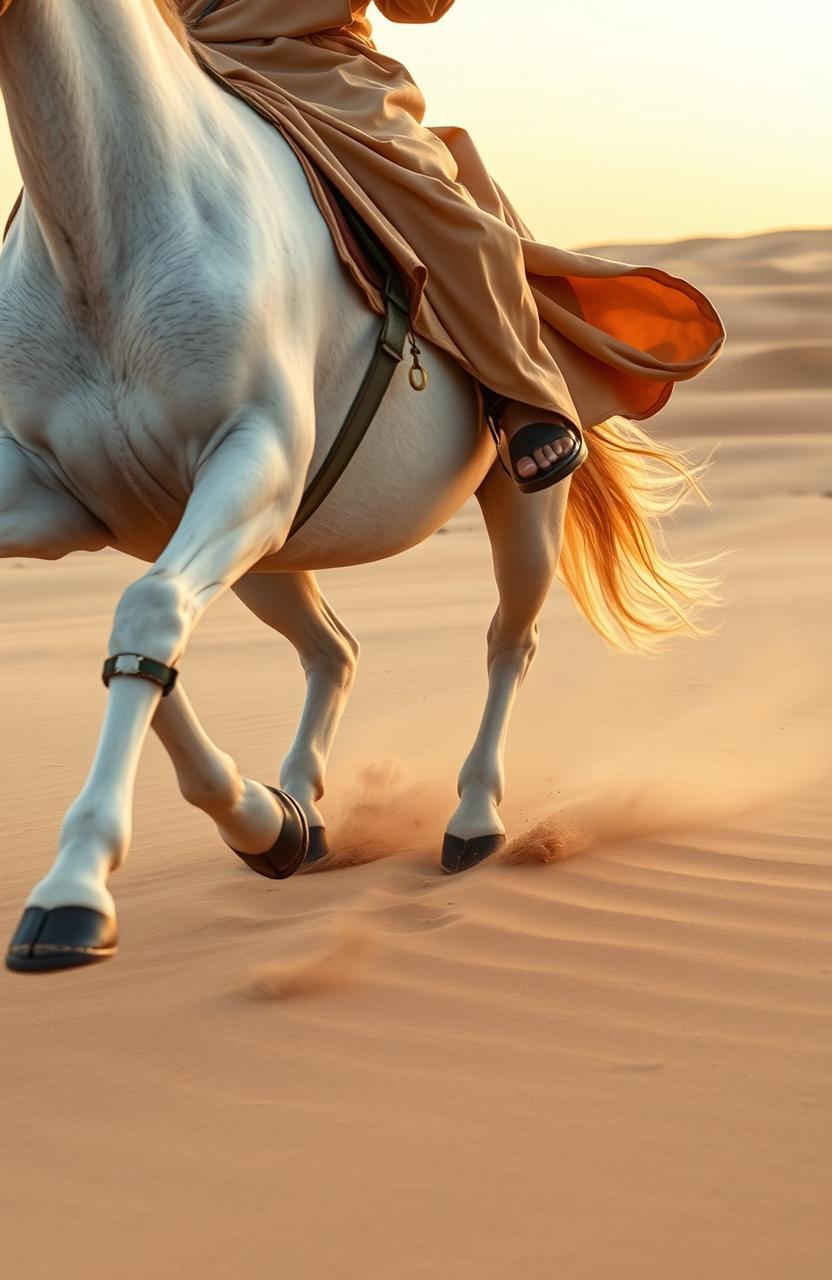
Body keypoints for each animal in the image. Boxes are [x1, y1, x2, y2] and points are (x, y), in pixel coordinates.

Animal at [1, 0, 711, 967]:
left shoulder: (252, 463)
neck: (106, 229)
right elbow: (149, 640)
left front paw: (72, 892)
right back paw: (295, 813)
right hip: (269, 561)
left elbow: (146, 617)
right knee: (333, 650)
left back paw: (471, 820)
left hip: (516, 507)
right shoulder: (75, 501)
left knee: (508, 643)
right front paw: (265, 824)